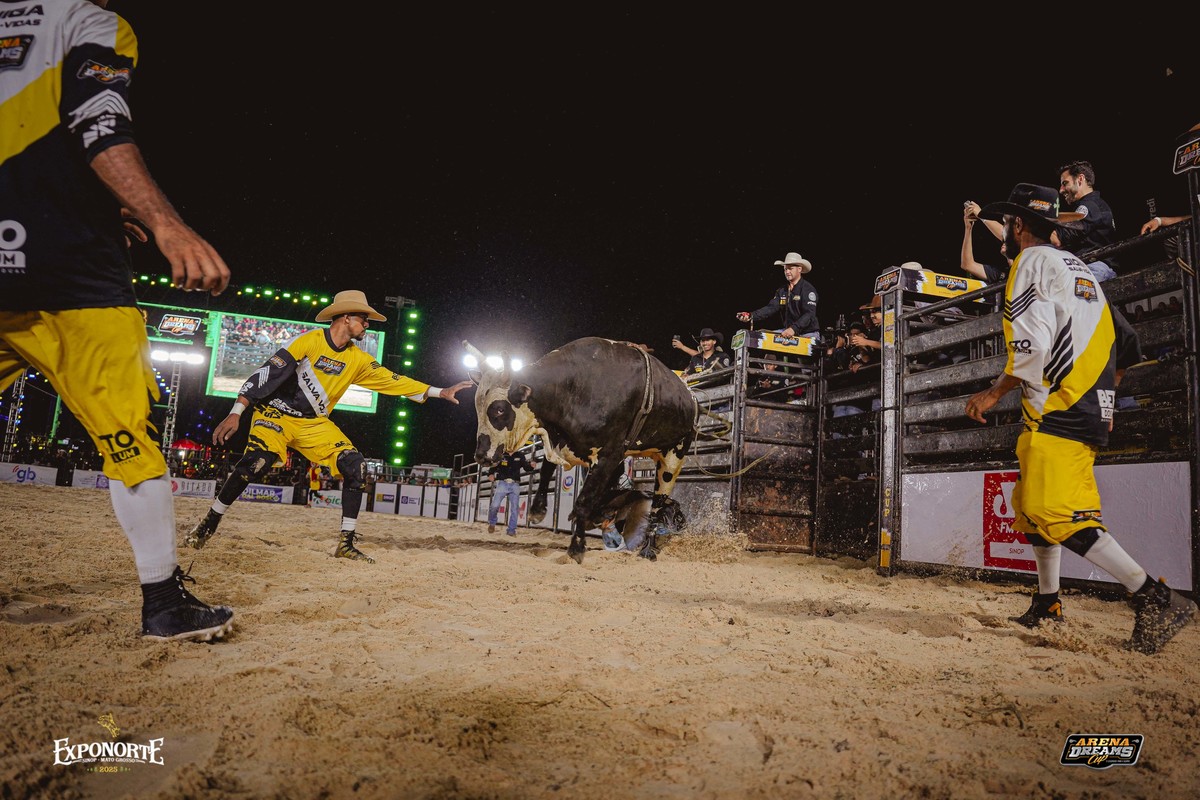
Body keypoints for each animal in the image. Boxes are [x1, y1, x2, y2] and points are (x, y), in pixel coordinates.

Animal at [465, 337, 699, 563]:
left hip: (673, 458)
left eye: (499, 409)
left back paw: (648, 550)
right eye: (478, 408)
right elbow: (546, 470)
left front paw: (576, 548)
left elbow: (583, 501)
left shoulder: (608, 455)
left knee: (658, 505)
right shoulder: (564, 441)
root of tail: (691, 398)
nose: (481, 456)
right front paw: (537, 510)